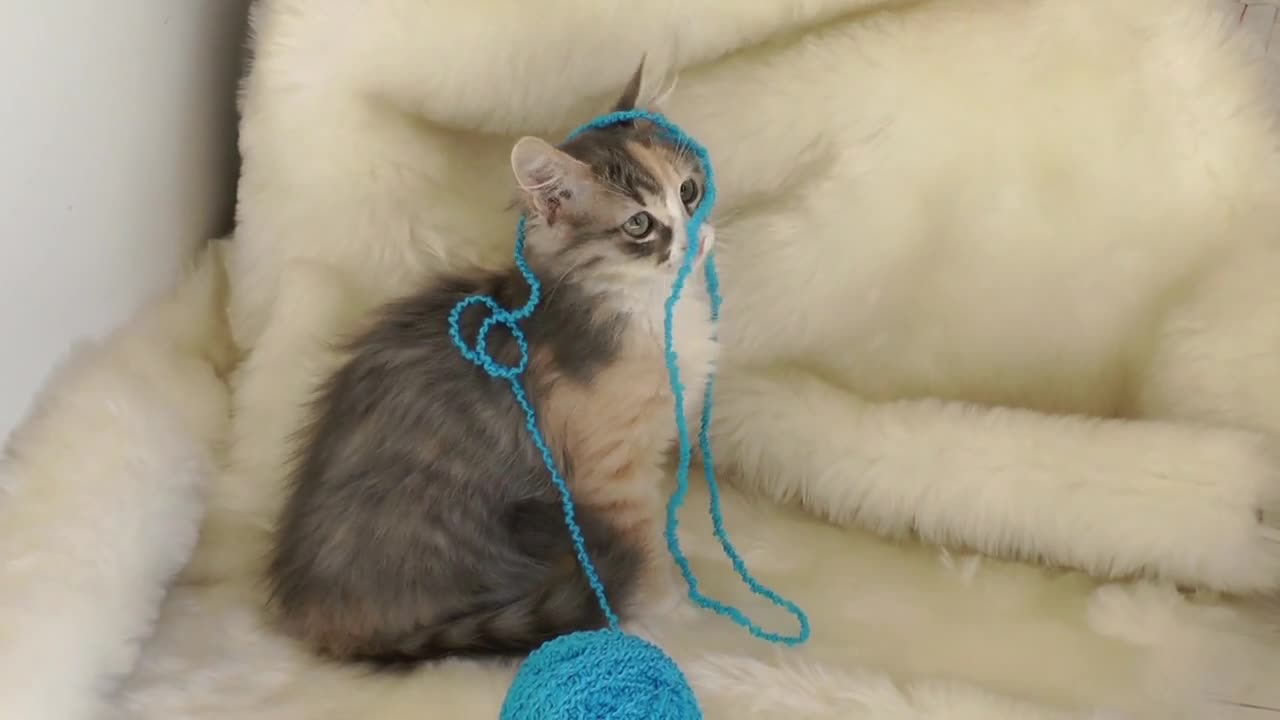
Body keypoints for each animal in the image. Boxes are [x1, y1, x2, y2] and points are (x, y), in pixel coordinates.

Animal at [266, 65, 721, 661]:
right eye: (640, 225)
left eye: (689, 192)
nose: (692, 237)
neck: (652, 310)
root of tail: (309, 606)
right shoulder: (610, 473)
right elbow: (643, 544)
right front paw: (669, 605)